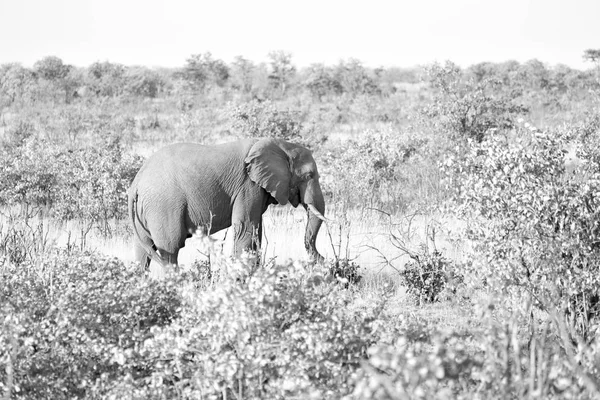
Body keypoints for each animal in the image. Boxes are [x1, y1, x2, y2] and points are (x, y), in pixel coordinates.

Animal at [124, 138, 326, 268]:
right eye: (309, 176)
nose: (323, 260)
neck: (280, 145)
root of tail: (136, 183)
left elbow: (256, 231)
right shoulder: (248, 186)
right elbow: (246, 229)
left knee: (143, 252)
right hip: (163, 206)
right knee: (170, 249)